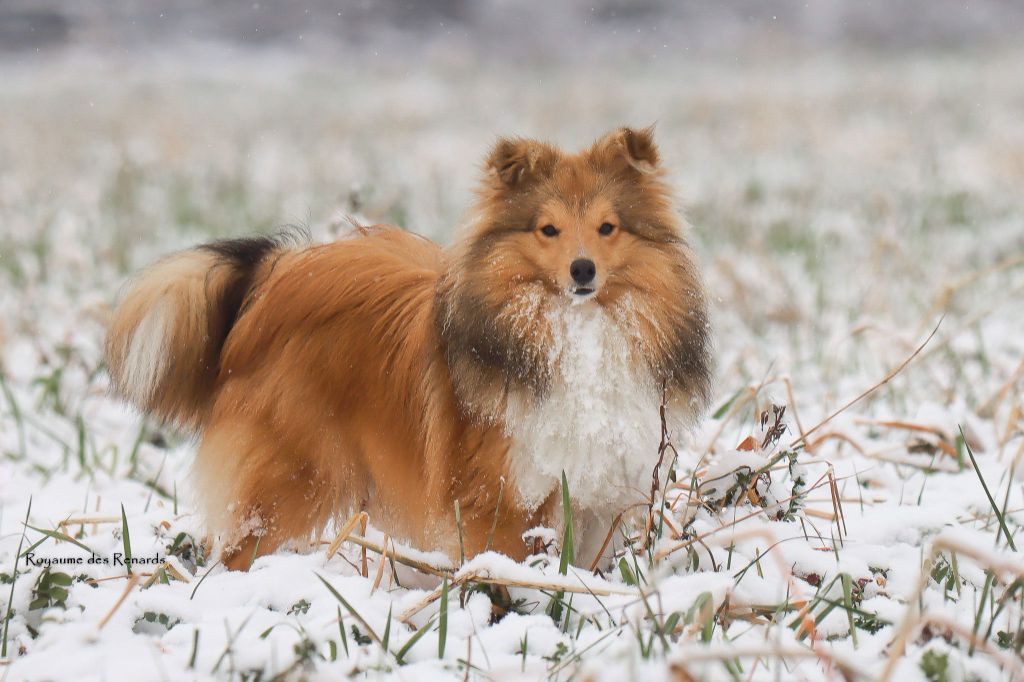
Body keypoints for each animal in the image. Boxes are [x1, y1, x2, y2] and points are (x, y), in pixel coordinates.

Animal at [103, 124, 712, 565]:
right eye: (548, 229)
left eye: (608, 227)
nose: (583, 271)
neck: (574, 331)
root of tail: (274, 277)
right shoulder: (502, 497)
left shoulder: (593, 501)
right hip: (293, 476)